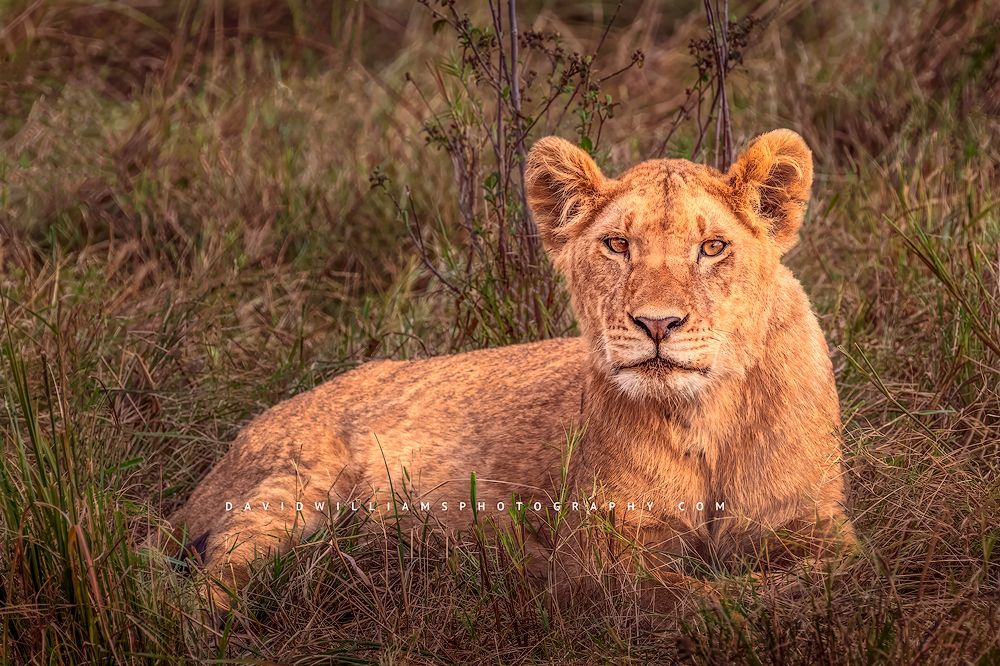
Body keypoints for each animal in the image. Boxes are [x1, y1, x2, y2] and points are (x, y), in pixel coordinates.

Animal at [162, 129, 854, 610]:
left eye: (713, 248)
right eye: (617, 245)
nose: (657, 324)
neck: (703, 415)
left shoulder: (813, 521)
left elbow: (835, 572)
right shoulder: (598, 549)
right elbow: (692, 595)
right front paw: (742, 601)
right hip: (291, 489)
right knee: (204, 585)